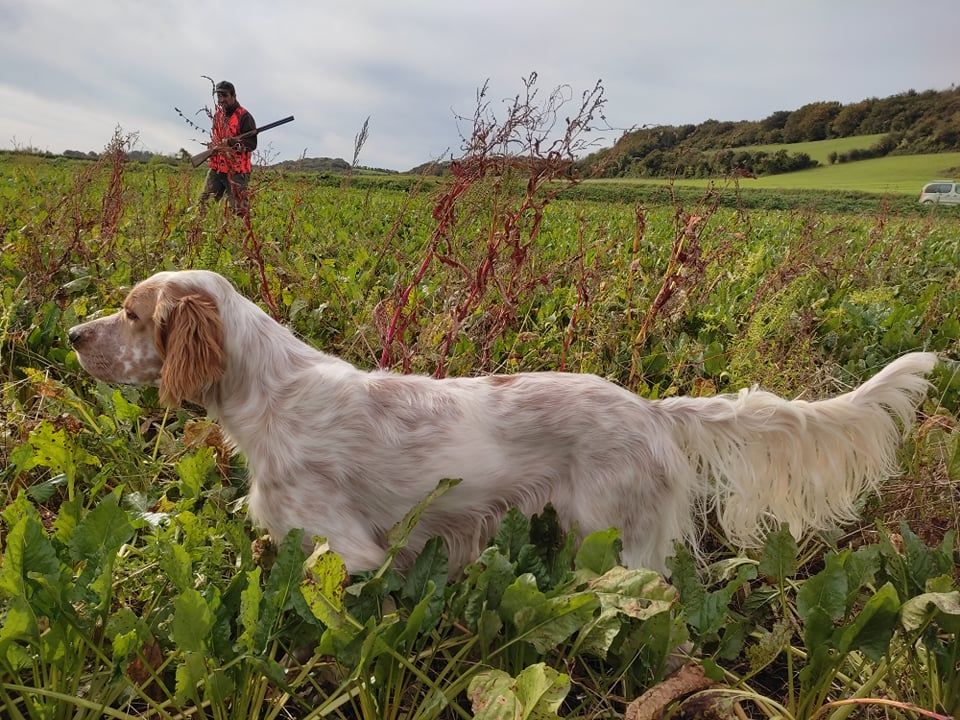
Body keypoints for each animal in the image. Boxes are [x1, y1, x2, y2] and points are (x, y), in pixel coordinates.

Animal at [67, 270, 936, 572]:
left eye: (131, 313)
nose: (72, 335)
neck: (270, 391)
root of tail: (651, 410)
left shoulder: (351, 552)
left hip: (617, 544)